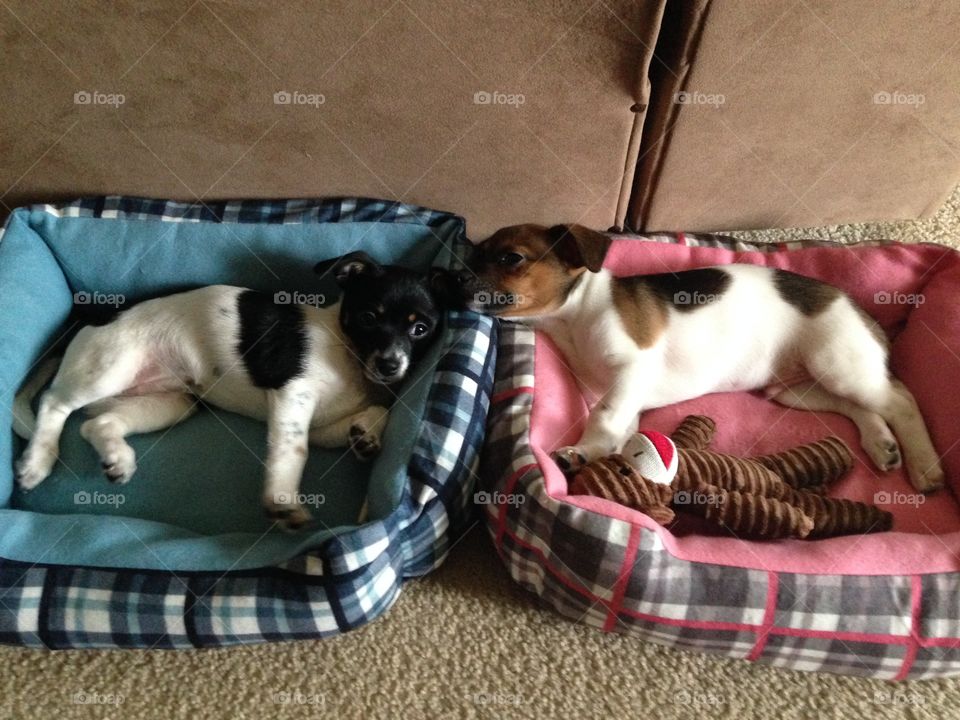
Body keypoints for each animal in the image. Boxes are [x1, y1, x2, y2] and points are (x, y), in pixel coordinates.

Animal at [13, 253, 444, 528]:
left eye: (420, 329)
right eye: (369, 317)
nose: (390, 366)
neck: (348, 356)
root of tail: (88, 317)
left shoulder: (323, 427)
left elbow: (378, 413)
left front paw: (366, 434)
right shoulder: (292, 394)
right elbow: (293, 450)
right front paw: (282, 500)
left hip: (171, 402)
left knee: (95, 423)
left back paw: (118, 458)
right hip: (111, 366)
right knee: (54, 403)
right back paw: (38, 460)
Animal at [456, 224, 944, 496]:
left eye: (511, 258)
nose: (450, 278)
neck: (574, 315)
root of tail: (856, 305)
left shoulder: (630, 371)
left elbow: (605, 416)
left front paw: (584, 451)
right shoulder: (629, 397)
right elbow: (622, 429)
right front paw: (603, 457)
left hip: (836, 362)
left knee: (900, 399)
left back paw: (925, 466)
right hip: (796, 390)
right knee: (861, 406)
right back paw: (882, 444)